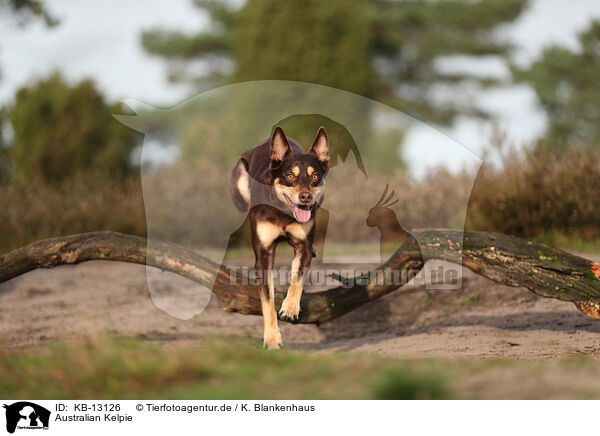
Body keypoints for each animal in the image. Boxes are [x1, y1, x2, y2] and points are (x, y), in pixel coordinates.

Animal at [230, 125, 330, 348]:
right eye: (290, 176)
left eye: (315, 176)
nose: (305, 197)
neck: (283, 212)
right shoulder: (263, 256)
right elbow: (267, 301)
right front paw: (272, 339)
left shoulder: (302, 246)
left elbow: (298, 277)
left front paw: (290, 307)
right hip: (239, 183)